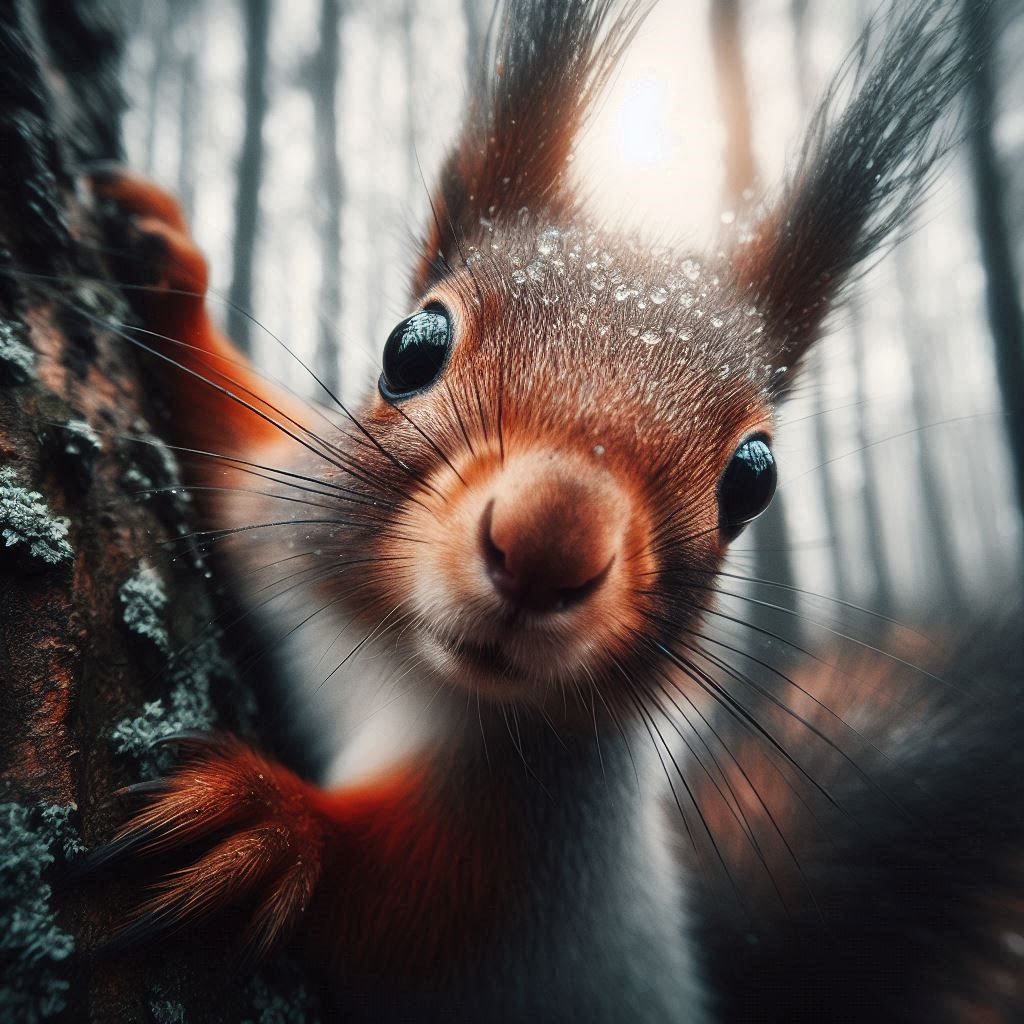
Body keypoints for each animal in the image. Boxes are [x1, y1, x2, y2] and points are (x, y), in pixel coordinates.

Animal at [83, 0, 1024, 1020]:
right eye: (411, 346)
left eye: (756, 479)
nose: (546, 548)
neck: (405, 668)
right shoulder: (277, 526)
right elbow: (232, 444)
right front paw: (167, 278)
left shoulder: (550, 866)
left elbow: (419, 912)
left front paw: (271, 826)